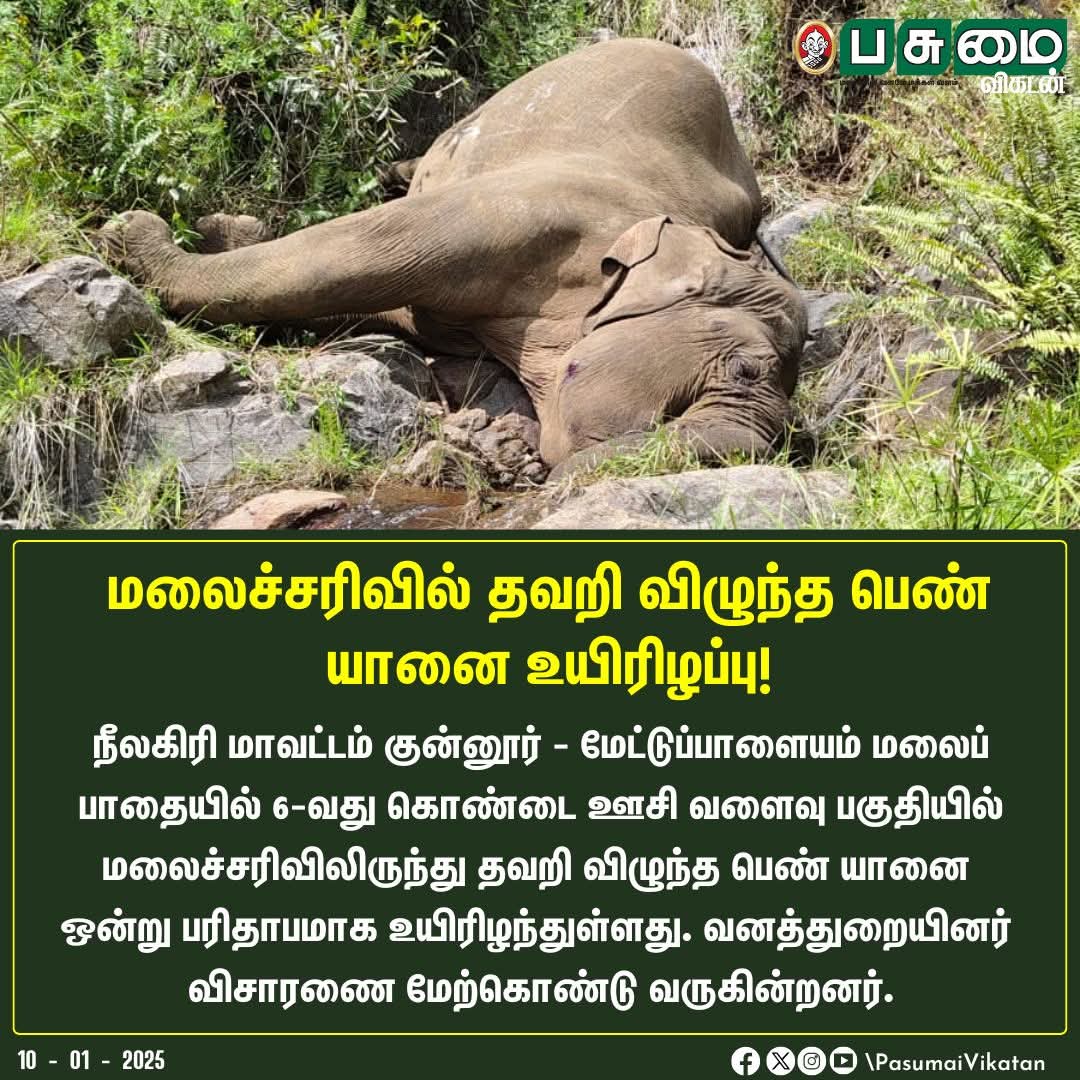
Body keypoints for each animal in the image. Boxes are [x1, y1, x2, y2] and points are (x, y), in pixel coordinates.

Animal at [100, 38, 807, 470]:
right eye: (749, 369)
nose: (767, 447)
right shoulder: (526, 216)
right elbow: (356, 251)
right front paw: (133, 235)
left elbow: (388, 307)